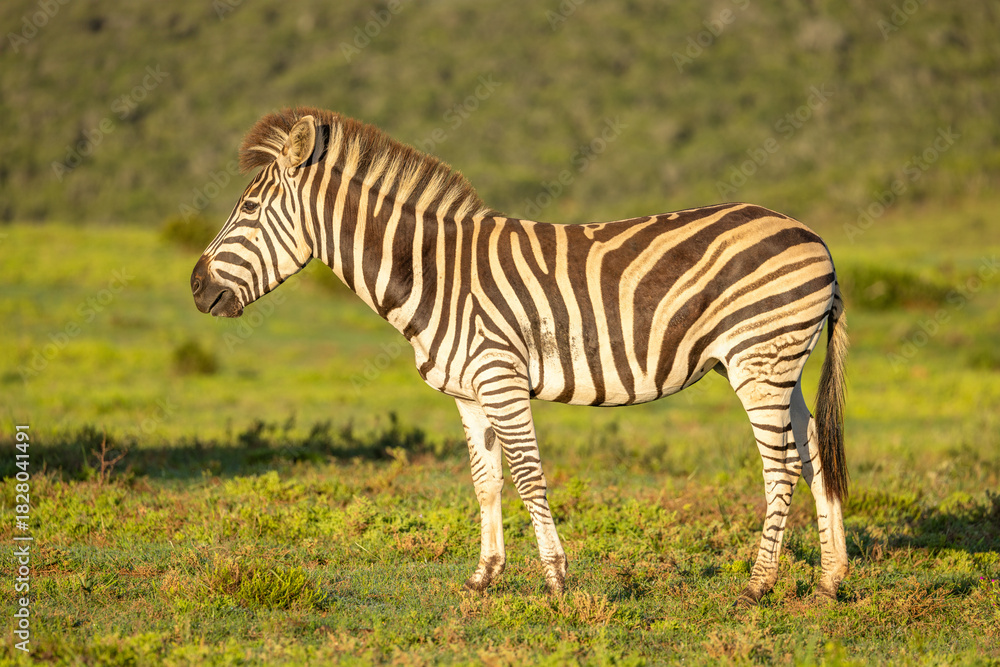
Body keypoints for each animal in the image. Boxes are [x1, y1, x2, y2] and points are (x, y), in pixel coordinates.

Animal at [191, 107, 849, 604]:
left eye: (247, 210)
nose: (196, 288)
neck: (434, 273)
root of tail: (816, 238)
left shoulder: (499, 376)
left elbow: (529, 476)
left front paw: (556, 580)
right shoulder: (468, 391)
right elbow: (486, 483)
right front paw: (484, 577)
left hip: (758, 360)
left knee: (781, 466)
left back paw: (759, 586)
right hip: (783, 365)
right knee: (815, 452)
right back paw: (830, 580)